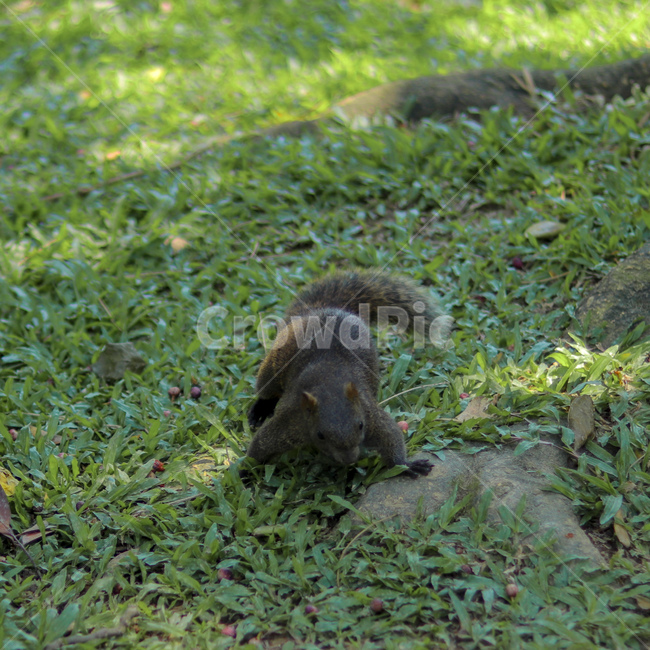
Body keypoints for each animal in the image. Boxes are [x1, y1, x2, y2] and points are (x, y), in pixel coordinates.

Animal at [246, 270, 453, 477]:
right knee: (267, 387)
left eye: (360, 425)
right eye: (320, 435)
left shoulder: (369, 414)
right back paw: (260, 410)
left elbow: (390, 435)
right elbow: (260, 445)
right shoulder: (291, 422)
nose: (350, 459)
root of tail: (321, 311)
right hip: (275, 363)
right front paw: (245, 472)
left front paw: (405, 465)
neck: (330, 384)